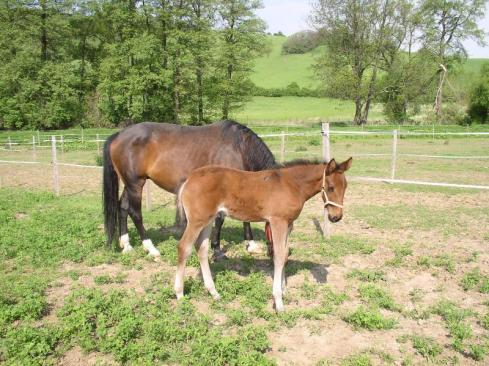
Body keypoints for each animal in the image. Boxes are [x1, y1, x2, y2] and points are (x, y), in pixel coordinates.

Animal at [102, 120, 274, 258]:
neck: (239, 148)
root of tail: (118, 135)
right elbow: (220, 219)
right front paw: (217, 250)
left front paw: (251, 245)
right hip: (136, 183)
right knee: (135, 213)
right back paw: (151, 248)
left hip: (130, 184)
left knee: (123, 207)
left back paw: (127, 245)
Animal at [174, 157, 350, 312]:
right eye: (331, 187)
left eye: (345, 187)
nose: (336, 217)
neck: (292, 185)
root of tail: (189, 180)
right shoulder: (278, 221)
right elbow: (278, 256)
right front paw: (278, 302)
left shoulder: (288, 223)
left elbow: (285, 254)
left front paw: (284, 289)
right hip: (197, 220)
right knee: (184, 247)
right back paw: (179, 294)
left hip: (208, 220)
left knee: (201, 249)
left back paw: (214, 292)